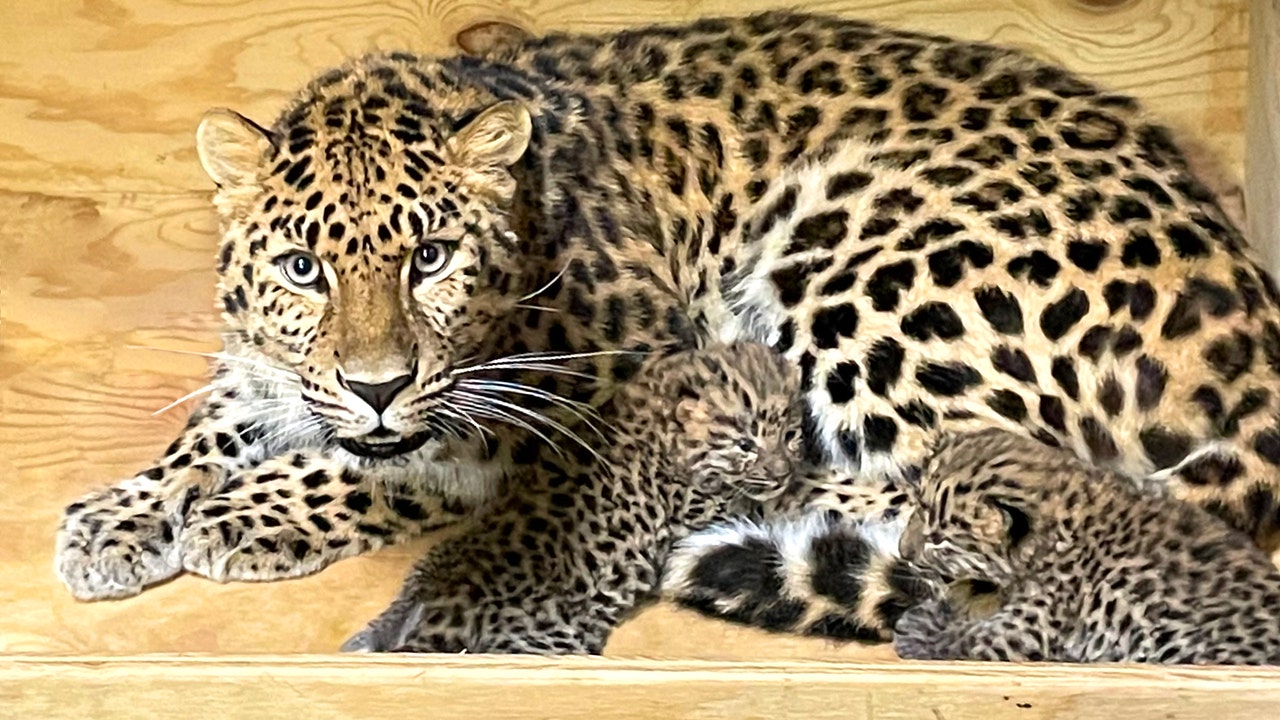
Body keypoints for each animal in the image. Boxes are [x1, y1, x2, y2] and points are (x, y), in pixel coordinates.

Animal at [340, 340, 804, 654]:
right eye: (745, 445)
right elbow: (749, 500)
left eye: (792, 435)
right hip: (546, 640)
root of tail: (434, 599)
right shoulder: (700, 509)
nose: (783, 471)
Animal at [890, 428, 1280, 665]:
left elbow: (975, 639)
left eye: (939, 538)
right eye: (917, 509)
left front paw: (918, 633)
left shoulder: (1036, 620)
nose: (903, 551)